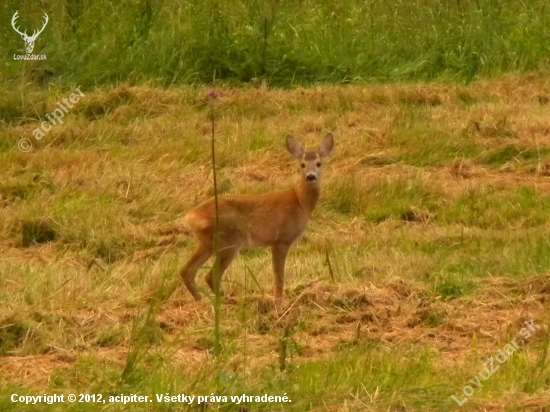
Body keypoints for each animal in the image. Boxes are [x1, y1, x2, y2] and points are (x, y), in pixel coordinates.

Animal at [182, 134, 336, 310]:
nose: (310, 176)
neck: (300, 202)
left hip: (207, 243)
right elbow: (279, 277)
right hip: (229, 241)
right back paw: (225, 302)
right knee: (210, 275)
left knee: (187, 271)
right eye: (302, 164)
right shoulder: (281, 240)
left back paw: (202, 301)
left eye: (319, 163)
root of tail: (191, 216)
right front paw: (279, 307)